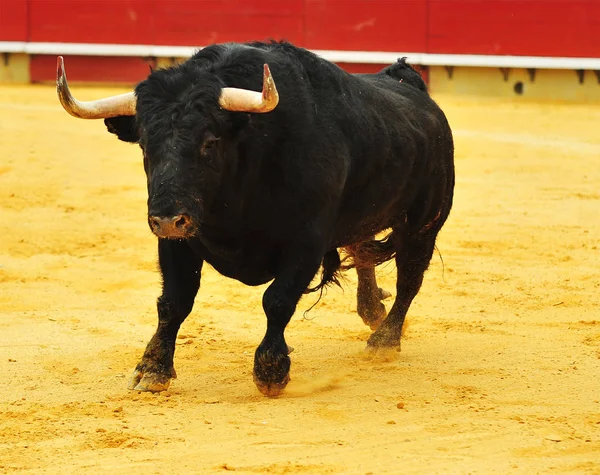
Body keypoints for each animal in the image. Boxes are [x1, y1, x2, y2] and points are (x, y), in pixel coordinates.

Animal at [57, 41, 454, 398]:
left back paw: (384, 340)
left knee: (409, 280)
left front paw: (271, 371)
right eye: (144, 144)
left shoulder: (306, 242)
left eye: (210, 142)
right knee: (363, 250)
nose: (168, 218)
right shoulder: (178, 241)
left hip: (423, 224)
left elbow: (277, 300)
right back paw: (372, 309)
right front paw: (152, 369)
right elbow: (173, 301)